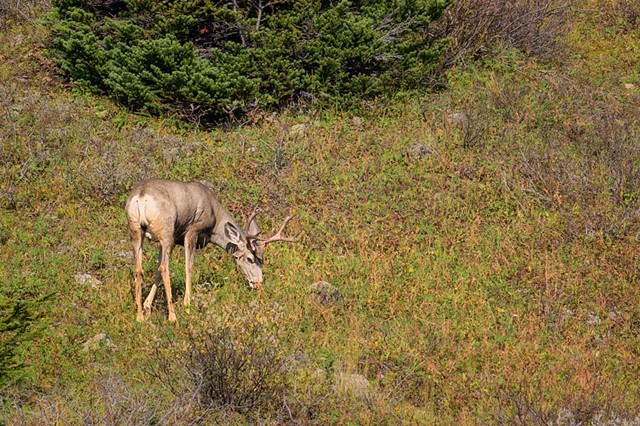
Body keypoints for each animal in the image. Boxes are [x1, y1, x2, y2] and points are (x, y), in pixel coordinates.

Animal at [125, 178, 297, 322]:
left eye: (262, 261)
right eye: (250, 259)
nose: (257, 283)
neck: (214, 219)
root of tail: (141, 197)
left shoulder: (173, 239)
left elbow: (156, 272)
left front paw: (147, 306)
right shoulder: (192, 230)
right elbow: (188, 267)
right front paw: (188, 302)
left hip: (136, 231)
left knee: (139, 269)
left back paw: (139, 316)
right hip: (166, 230)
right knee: (164, 268)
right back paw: (172, 317)